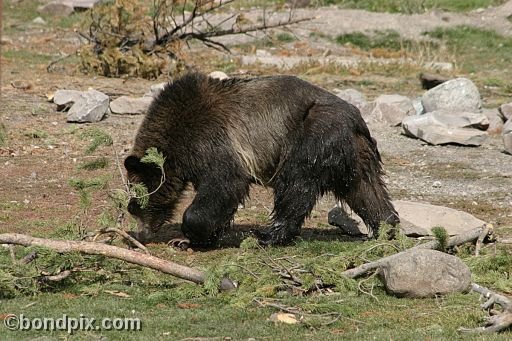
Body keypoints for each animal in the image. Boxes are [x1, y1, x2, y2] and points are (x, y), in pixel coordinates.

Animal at [125, 73, 400, 246]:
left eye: (136, 203)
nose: (140, 234)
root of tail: (357, 119)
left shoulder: (212, 141)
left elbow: (224, 183)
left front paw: (187, 236)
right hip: (354, 155)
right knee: (366, 190)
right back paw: (386, 227)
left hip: (312, 134)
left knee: (295, 184)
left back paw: (268, 235)